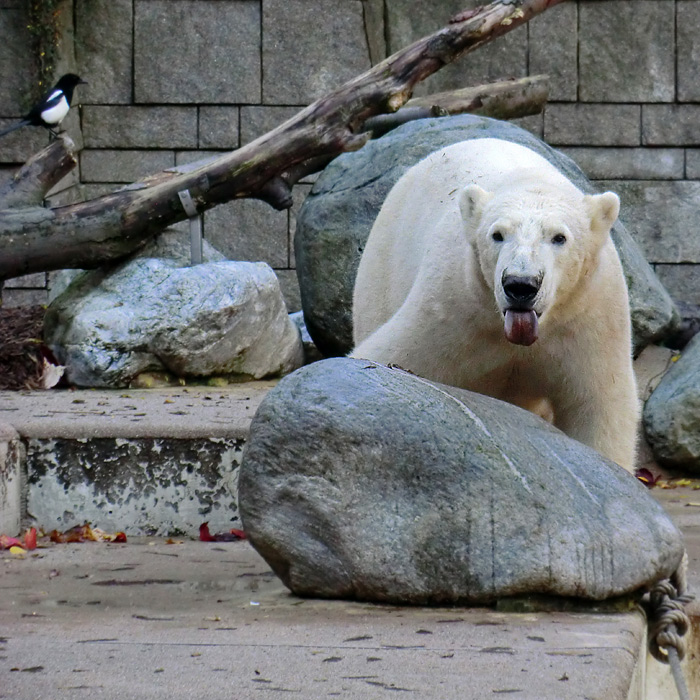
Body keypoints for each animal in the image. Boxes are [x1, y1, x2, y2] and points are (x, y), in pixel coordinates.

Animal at [350, 138, 640, 470]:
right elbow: (392, 355)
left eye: (559, 237)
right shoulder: (452, 309)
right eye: (498, 235)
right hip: (383, 266)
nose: (520, 285)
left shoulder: (590, 319)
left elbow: (599, 404)